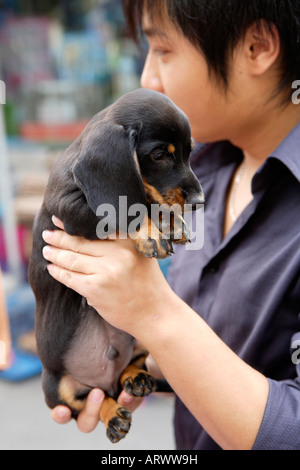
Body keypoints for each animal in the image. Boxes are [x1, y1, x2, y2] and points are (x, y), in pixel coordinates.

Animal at [28, 89, 204, 444]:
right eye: (160, 154)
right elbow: (133, 206)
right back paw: (113, 415)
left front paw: (172, 224)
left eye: (189, 152)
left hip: (143, 337)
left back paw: (135, 377)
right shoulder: (71, 210)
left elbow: (148, 200)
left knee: (130, 365)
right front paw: (152, 233)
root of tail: (105, 382)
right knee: (85, 402)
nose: (199, 201)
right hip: (55, 386)